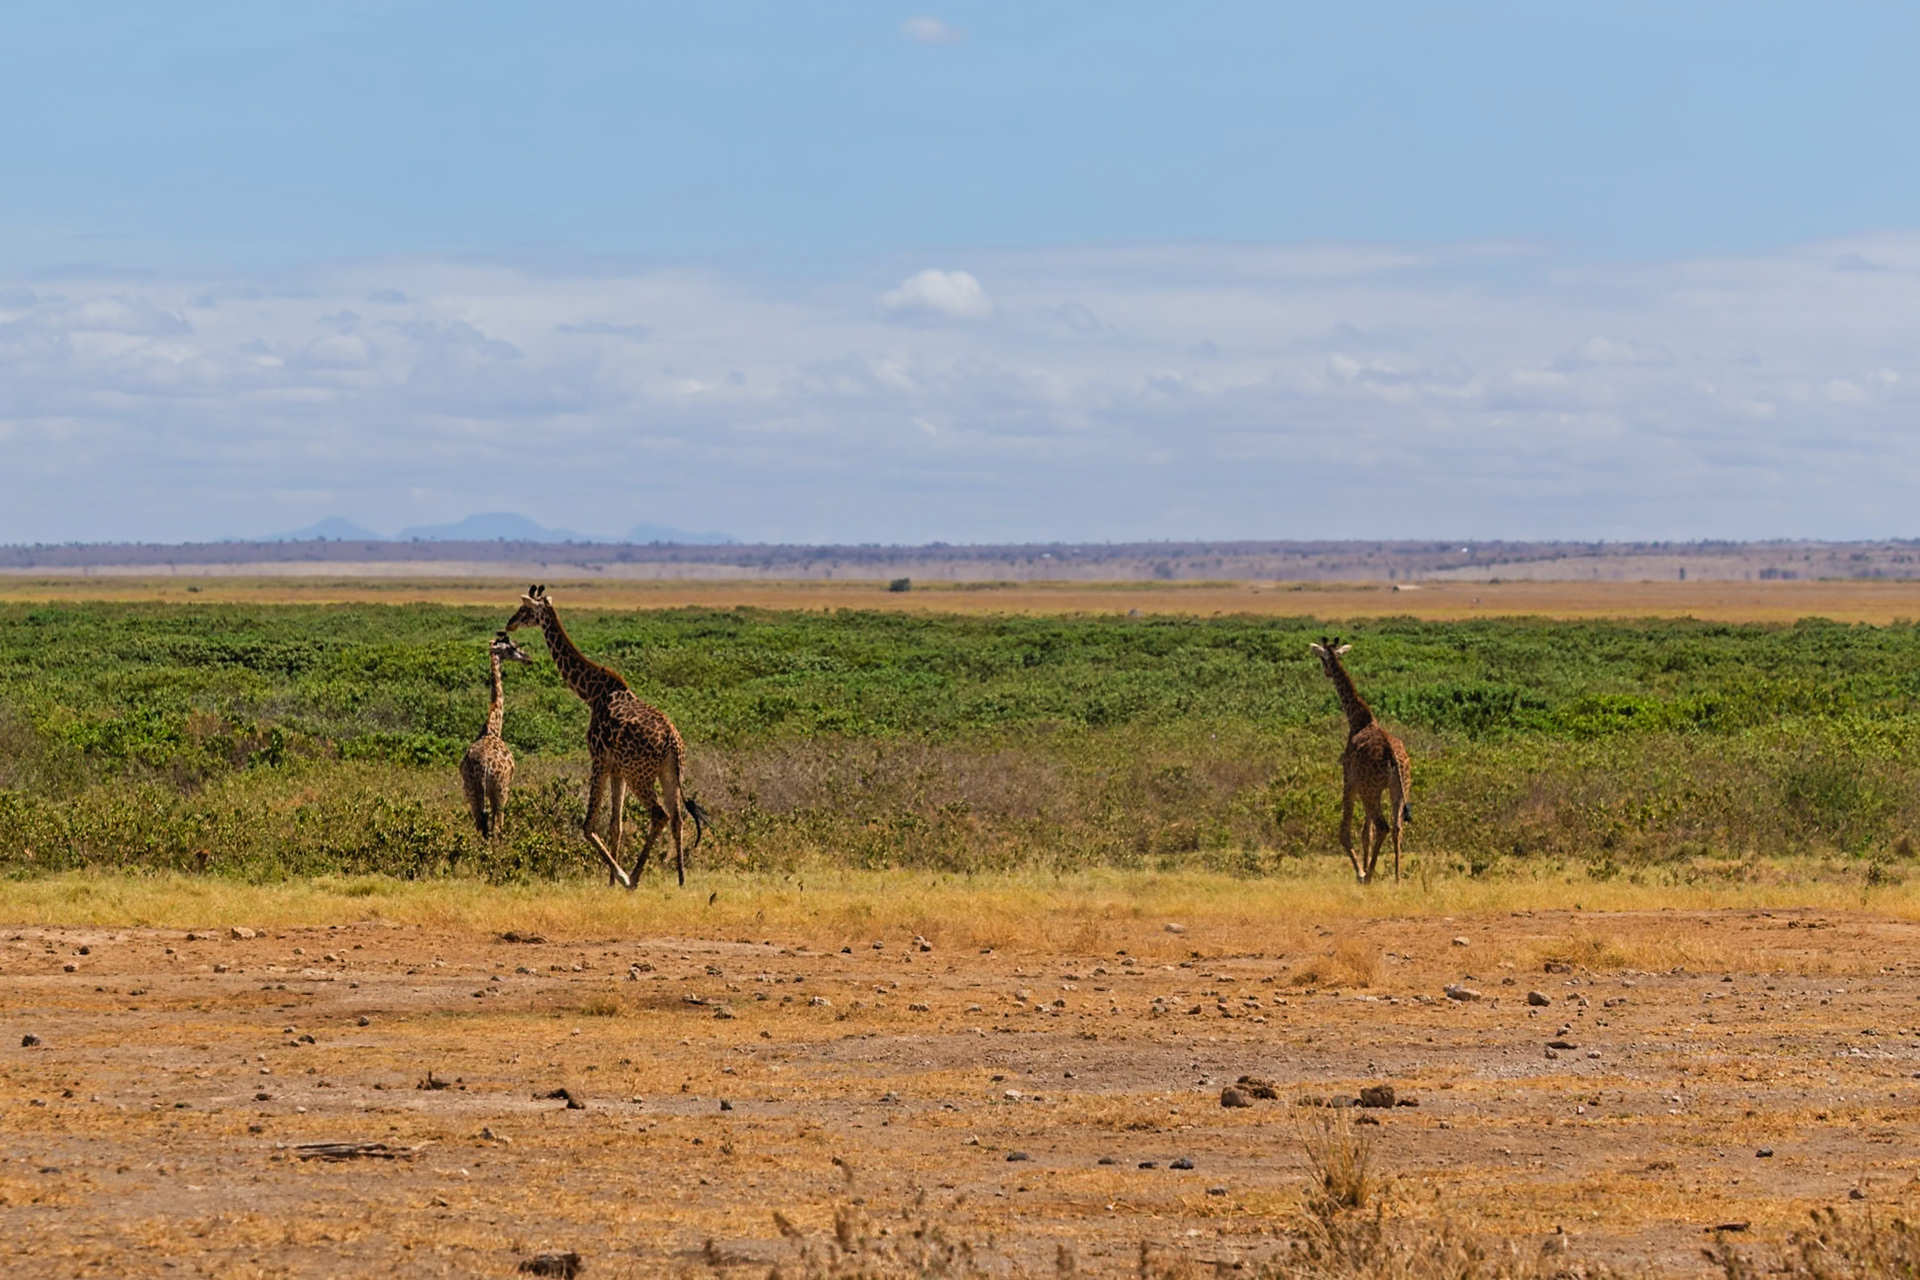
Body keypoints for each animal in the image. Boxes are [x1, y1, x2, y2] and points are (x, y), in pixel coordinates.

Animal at [459, 631, 533, 838]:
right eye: (513, 648)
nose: (529, 659)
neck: (492, 729)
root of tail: (484, 768)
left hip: (472, 791)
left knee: (481, 826)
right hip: (500, 791)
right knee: (497, 828)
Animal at [503, 585, 707, 888]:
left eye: (525, 609)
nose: (510, 624)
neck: (591, 692)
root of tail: (672, 740)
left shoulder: (599, 758)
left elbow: (588, 825)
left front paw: (619, 876)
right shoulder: (616, 768)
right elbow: (615, 825)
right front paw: (611, 881)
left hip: (640, 774)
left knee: (659, 814)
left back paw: (633, 878)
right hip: (669, 772)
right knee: (678, 818)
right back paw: (681, 879)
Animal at [1309, 636, 1412, 884]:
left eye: (1322, 658)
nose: (1326, 672)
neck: (1357, 719)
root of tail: (1393, 757)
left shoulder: (1350, 780)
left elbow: (1345, 832)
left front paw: (1361, 871)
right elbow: (1366, 833)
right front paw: (1364, 867)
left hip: (1370, 789)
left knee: (1383, 826)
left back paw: (1370, 875)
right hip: (1399, 787)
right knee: (1397, 827)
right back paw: (1397, 878)